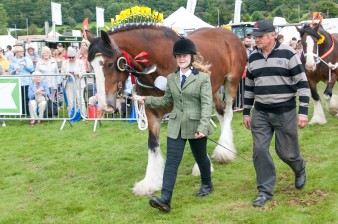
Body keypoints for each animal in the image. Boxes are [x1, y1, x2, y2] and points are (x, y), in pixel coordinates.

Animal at [86, 25, 247, 195]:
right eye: (91, 65)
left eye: (110, 64)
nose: (105, 105)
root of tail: (228, 33)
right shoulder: (152, 111)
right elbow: (152, 143)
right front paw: (150, 182)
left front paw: (203, 166)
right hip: (213, 90)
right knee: (221, 114)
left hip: (231, 82)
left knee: (228, 113)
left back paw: (224, 152)